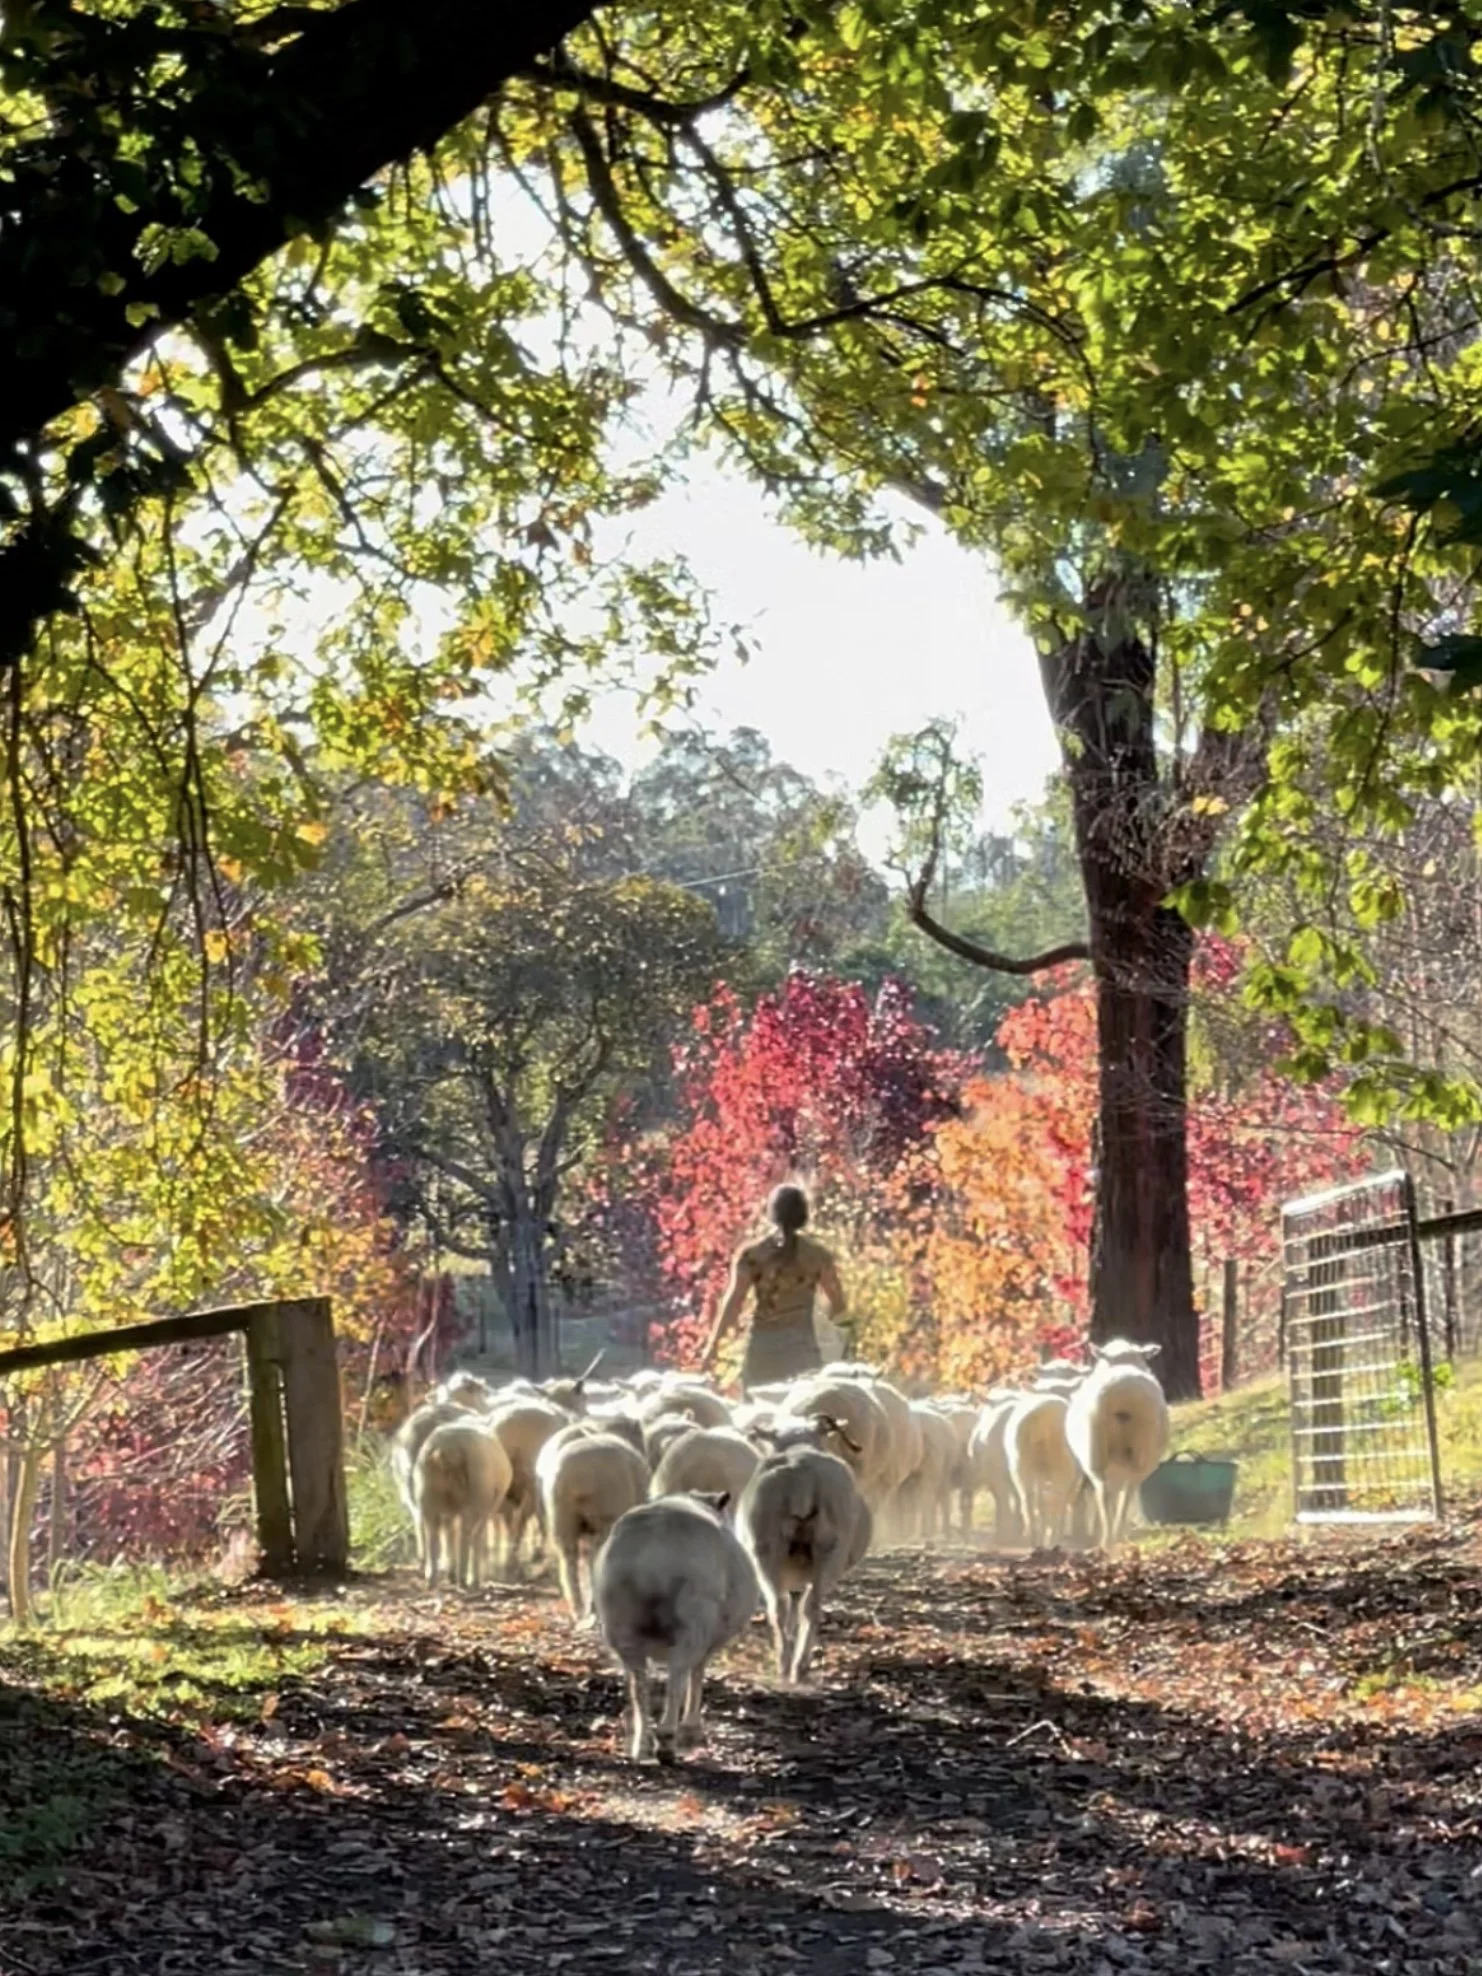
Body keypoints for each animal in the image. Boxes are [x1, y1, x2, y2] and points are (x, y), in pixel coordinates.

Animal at [412, 1419, 513, 1587]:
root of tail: (448, 1448)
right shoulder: (484, 1510)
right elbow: (477, 1538)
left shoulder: (449, 1511)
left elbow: (449, 1533)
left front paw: (450, 1572)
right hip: (475, 1496)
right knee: (467, 1534)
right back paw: (465, 1578)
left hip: (427, 1495)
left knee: (432, 1533)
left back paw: (432, 1577)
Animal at [537, 1431, 651, 1620]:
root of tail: (576, 1476)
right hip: (606, 1515)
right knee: (595, 1557)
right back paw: (594, 1605)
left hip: (562, 1518)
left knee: (569, 1562)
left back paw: (578, 1609)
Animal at [594, 1493, 759, 1763]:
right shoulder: (709, 1639)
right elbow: (698, 1673)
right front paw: (692, 1730)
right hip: (694, 1621)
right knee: (677, 1677)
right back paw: (667, 1739)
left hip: (620, 1624)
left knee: (638, 1685)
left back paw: (642, 1745)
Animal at [737, 1446, 872, 1683]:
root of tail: (802, 1472)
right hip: (831, 1548)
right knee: (812, 1606)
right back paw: (799, 1666)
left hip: (765, 1546)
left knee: (779, 1606)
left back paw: (785, 1664)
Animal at [1065, 1343, 1169, 1548]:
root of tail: (1122, 1390)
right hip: (1141, 1451)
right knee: (1125, 1490)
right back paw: (1116, 1533)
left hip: (1095, 1451)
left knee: (1103, 1491)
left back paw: (1106, 1537)